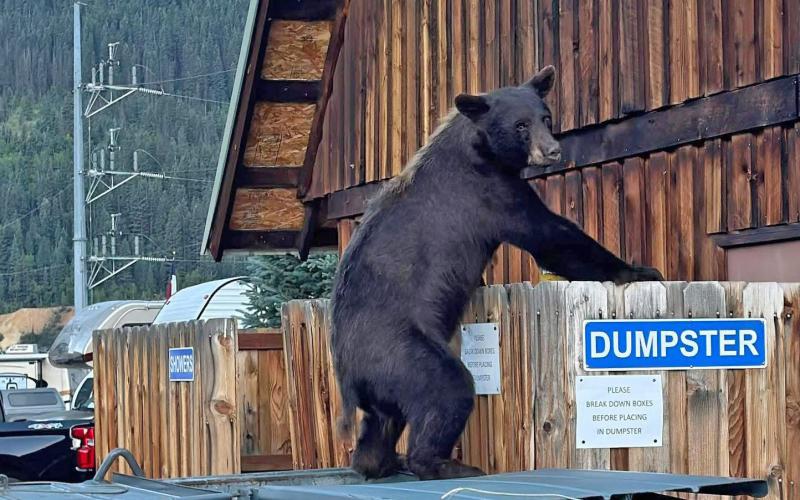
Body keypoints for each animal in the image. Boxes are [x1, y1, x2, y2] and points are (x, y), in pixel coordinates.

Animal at [329, 65, 664, 481]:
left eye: (545, 117)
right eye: (520, 125)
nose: (552, 150)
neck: (480, 148)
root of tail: (346, 376)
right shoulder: (489, 193)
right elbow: (552, 236)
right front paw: (639, 269)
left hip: (382, 383)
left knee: (380, 424)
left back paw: (378, 461)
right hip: (400, 351)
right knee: (447, 387)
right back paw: (445, 464)